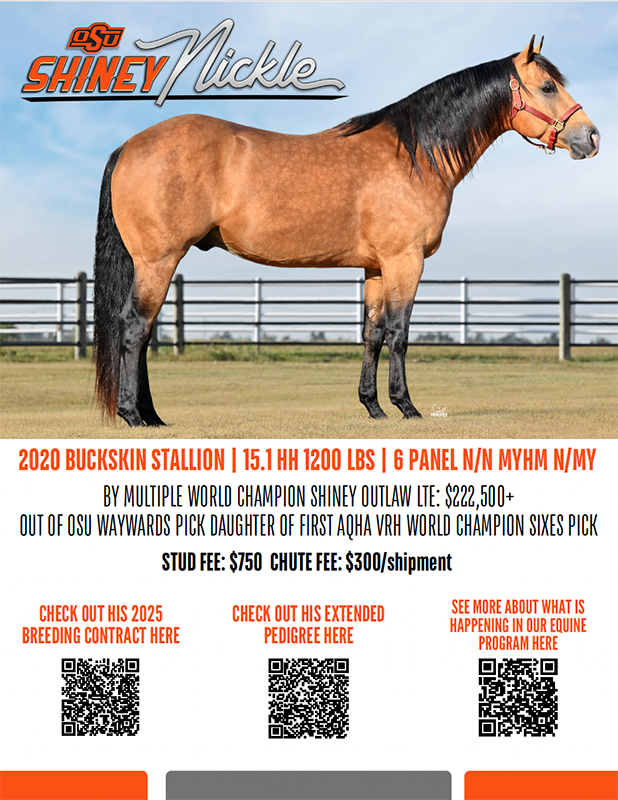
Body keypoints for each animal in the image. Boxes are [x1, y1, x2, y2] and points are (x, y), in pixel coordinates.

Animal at [93, 36, 599, 427]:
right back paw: (134, 416)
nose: (591, 138)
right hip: (158, 260)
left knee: (143, 332)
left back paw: (153, 416)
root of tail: (129, 144)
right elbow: (399, 332)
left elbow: (372, 333)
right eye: (548, 86)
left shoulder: (376, 267)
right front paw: (406, 407)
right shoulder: (404, 261)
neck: (415, 153)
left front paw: (373, 407)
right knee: (135, 328)